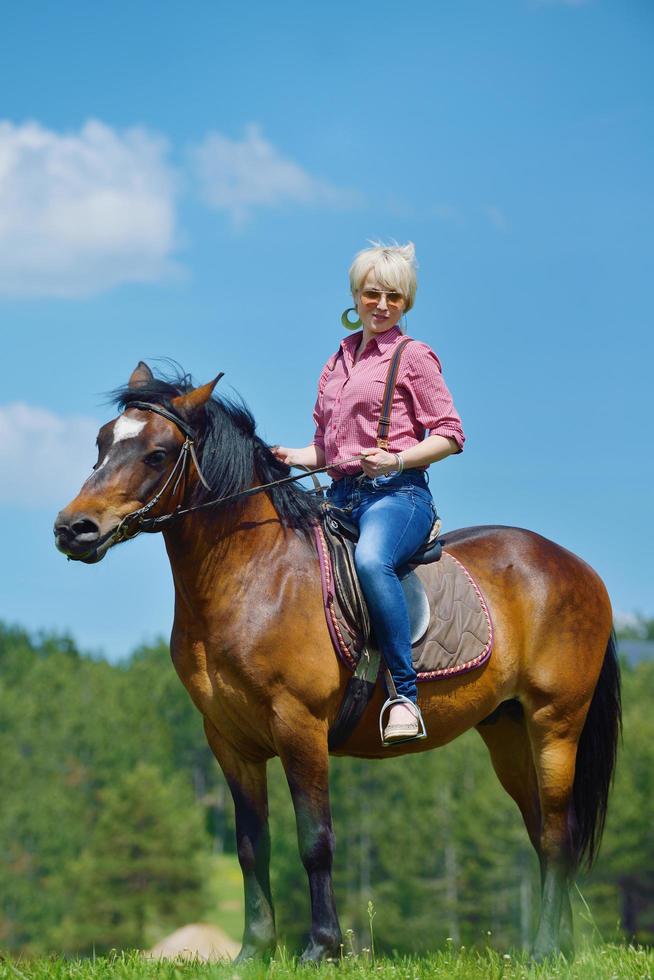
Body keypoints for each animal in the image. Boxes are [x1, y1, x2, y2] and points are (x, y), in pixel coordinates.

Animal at [55, 364, 620, 960]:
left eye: (157, 454)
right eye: (101, 442)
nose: (73, 529)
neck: (254, 575)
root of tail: (577, 567)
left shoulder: (299, 725)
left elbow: (315, 841)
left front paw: (322, 947)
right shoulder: (228, 740)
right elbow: (251, 846)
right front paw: (254, 952)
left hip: (555, 722)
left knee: (558, 833)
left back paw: (546, 948)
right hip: (506, 730)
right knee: (542, 830)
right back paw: (559, 946)